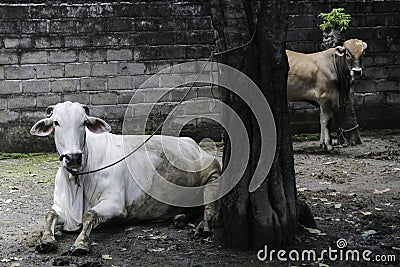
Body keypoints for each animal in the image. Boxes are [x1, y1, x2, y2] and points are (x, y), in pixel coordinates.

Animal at [30, 101, 220, 255]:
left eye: (83, 122)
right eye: (56, 122)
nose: (73, 157)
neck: (75, 182)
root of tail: (192, 142)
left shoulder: (116, 205)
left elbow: (89, 215)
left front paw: (80, 244)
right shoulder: (60, 207)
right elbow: (49, 215)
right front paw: (46, 240)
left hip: (213, 173)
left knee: (210, 207)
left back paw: (203, 227)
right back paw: (179, 218)